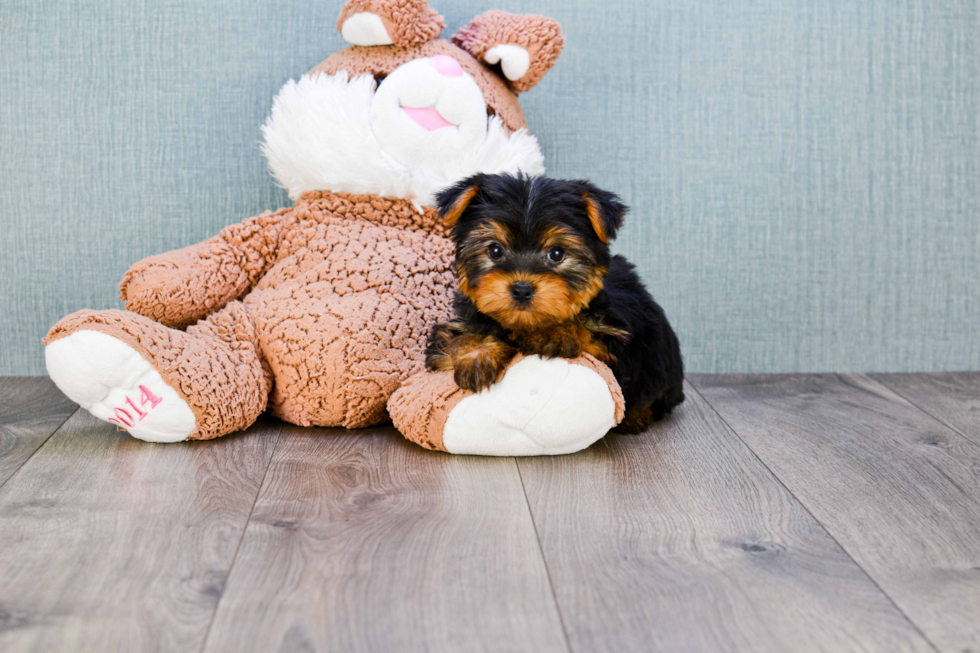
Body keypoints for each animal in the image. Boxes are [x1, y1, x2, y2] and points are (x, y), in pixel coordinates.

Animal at [424, 173, 684, 432]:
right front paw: (477, 354)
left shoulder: (616, 347)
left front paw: (555, 332)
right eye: (495, 250)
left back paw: (636, 416)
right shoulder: (457, 326)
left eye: (557, 254)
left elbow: (589, 337)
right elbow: (456, 339)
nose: (522, 289)